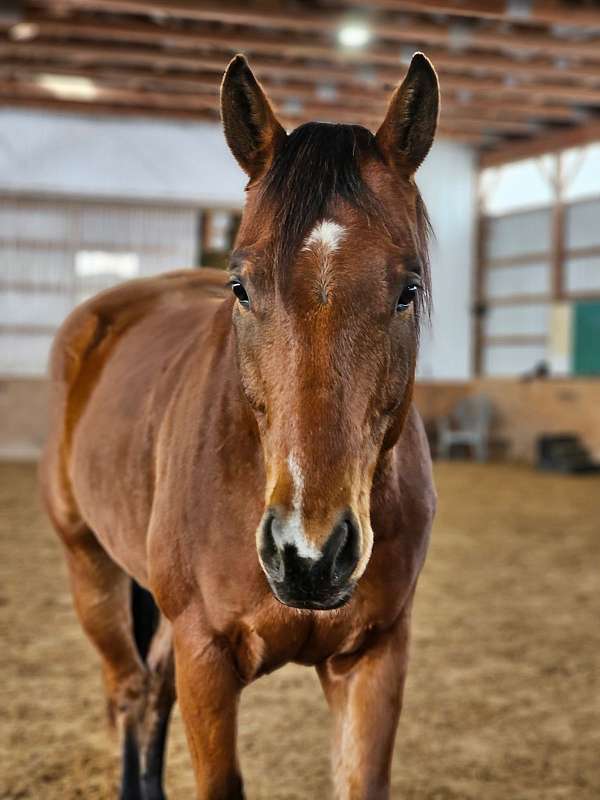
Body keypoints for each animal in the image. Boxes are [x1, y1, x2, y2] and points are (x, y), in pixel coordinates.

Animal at [39, 53, 438, 796]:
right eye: (241, 287)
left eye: (409, 290)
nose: (309, 555)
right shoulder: (205, 654)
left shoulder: (375, 657)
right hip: (90, 570)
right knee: (131, 690)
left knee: (149, 692)